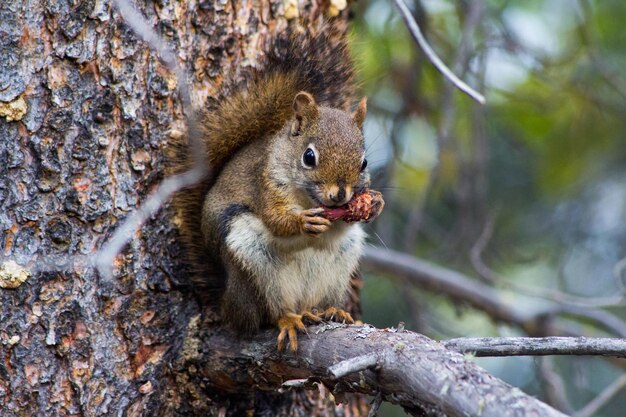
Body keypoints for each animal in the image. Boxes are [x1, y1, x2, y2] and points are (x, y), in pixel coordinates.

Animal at [171, 26, 386, 352]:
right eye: (309, 157)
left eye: (364, 163)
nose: (339, 195)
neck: (308, 197)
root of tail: (227, 305)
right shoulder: (266, 183)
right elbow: (275, 218)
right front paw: (303, 221)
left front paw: (374, 202)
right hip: (252, 262)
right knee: (268, 313)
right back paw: (288, 319)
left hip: (340, 263)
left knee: (316, 302)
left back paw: (330, 310)